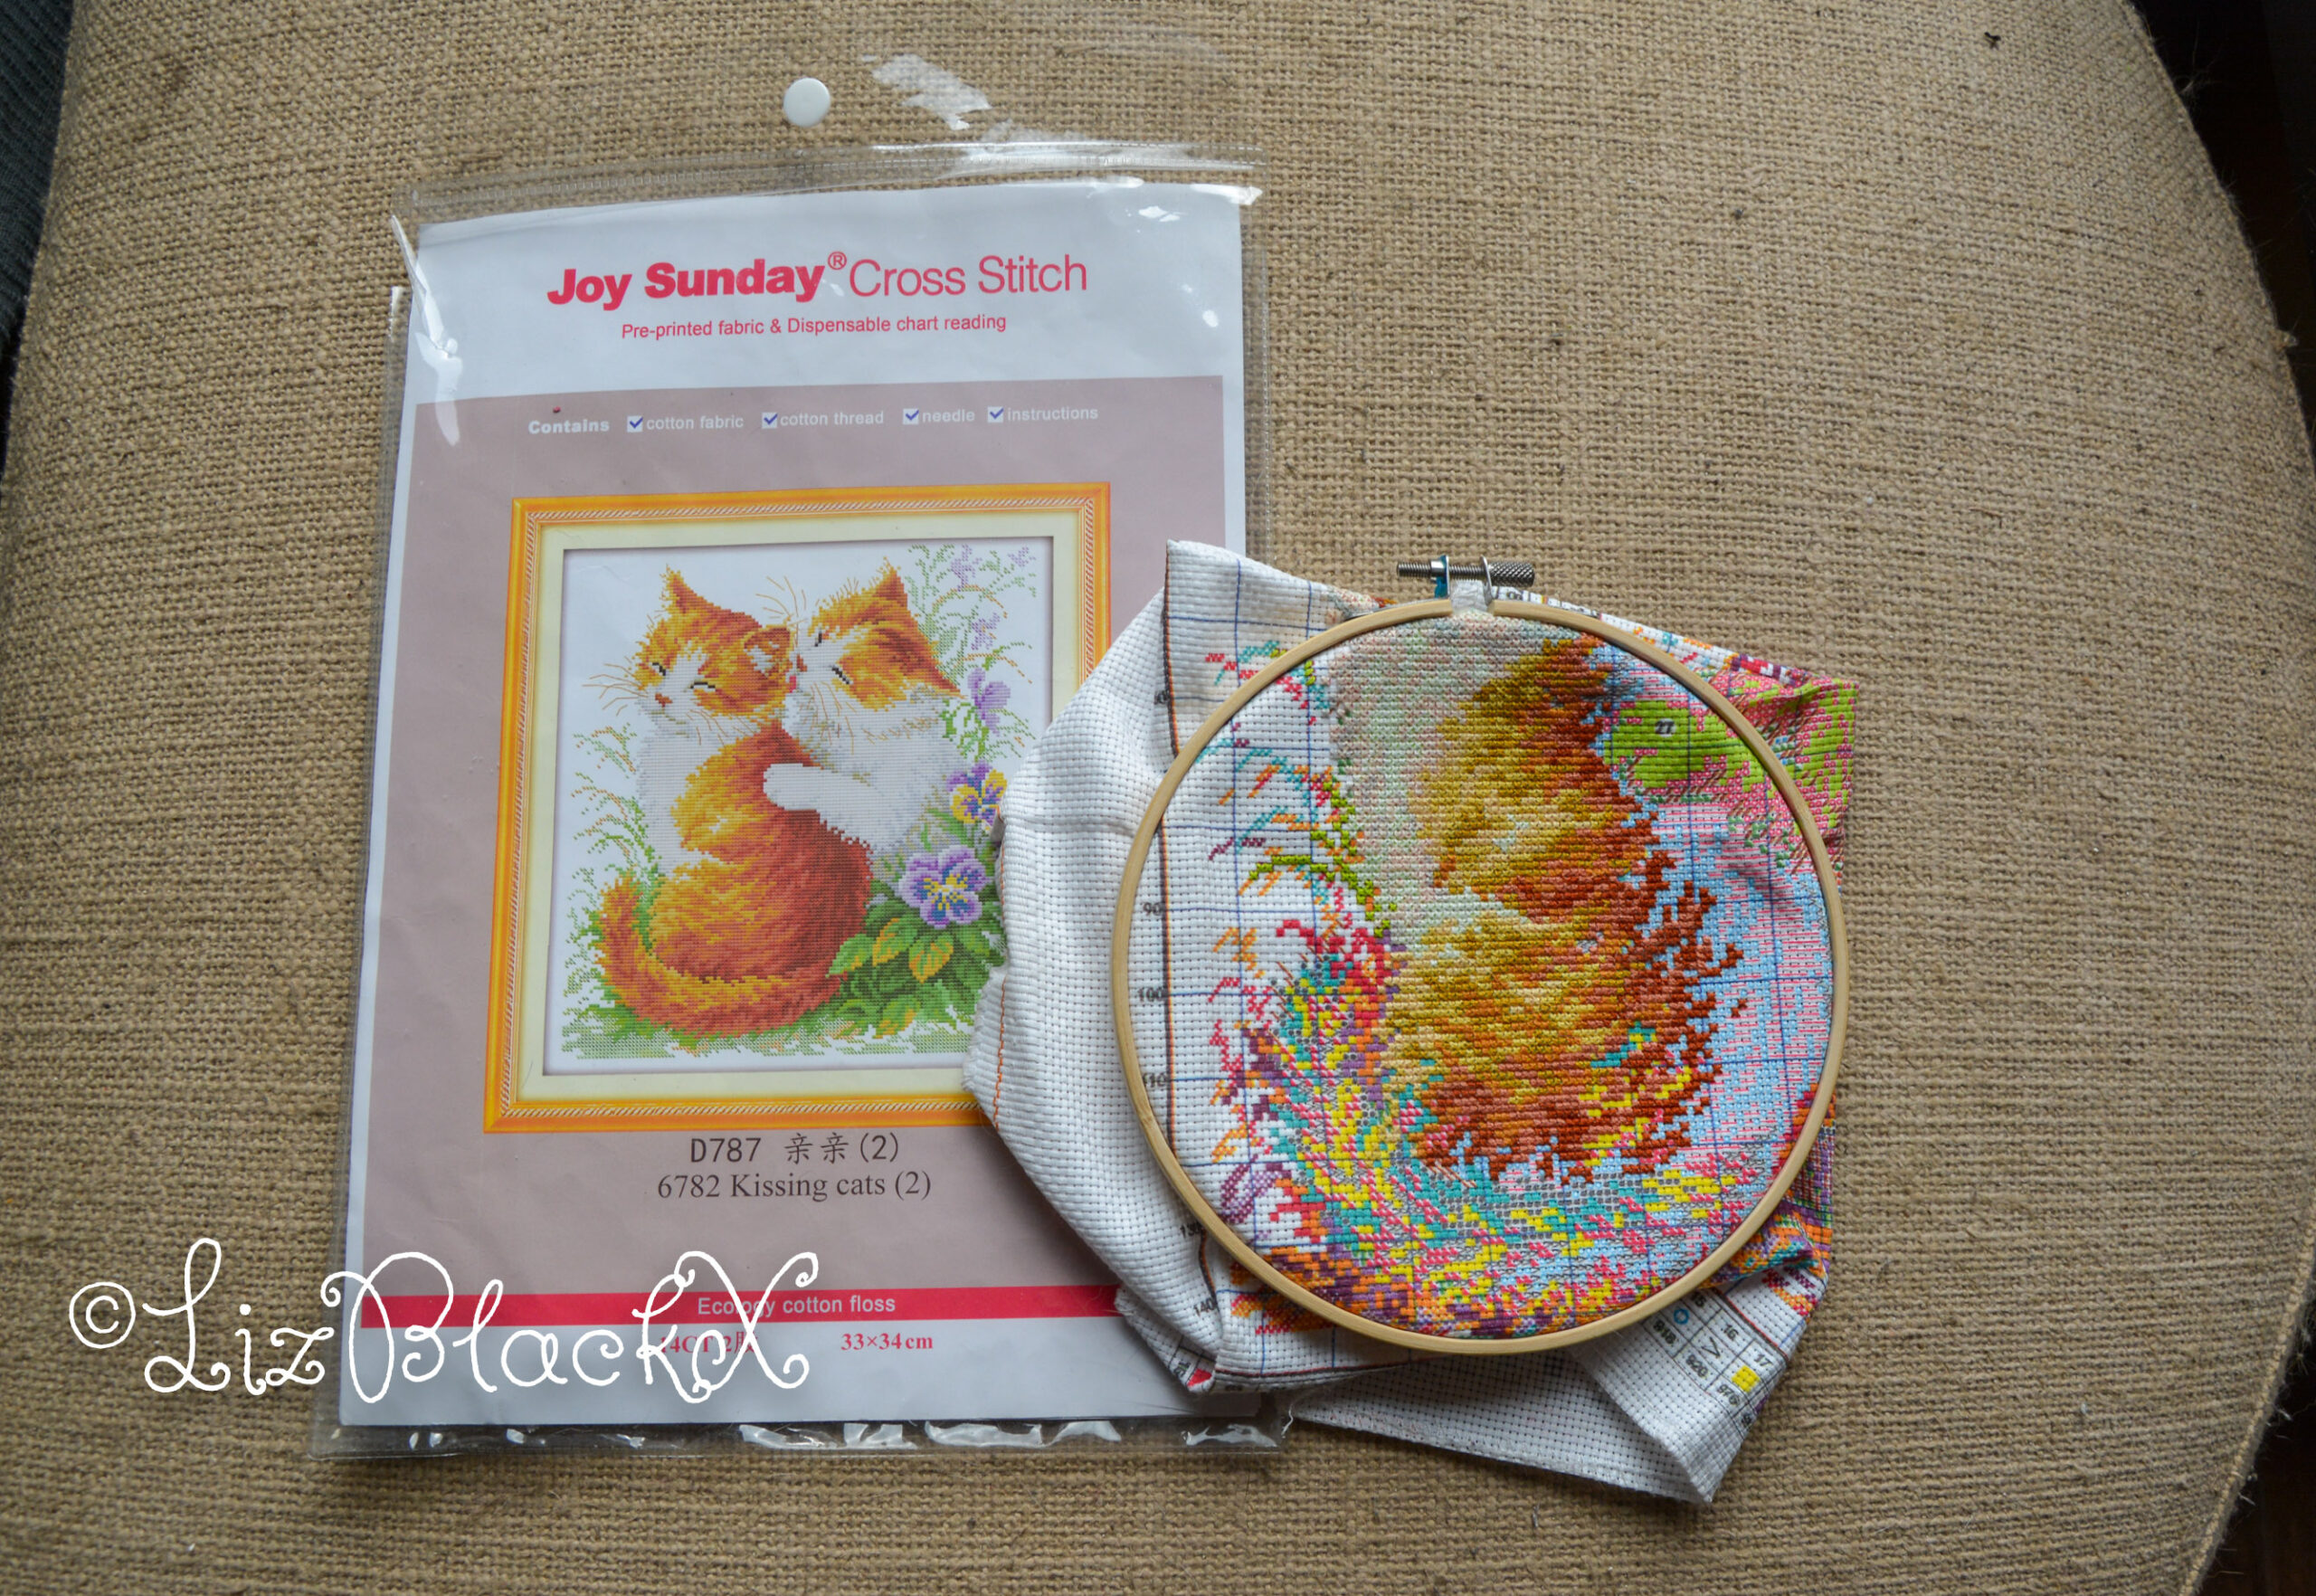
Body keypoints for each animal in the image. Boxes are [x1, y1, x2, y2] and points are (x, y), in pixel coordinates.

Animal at [594, 570, 871, 1038]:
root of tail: (822, 965)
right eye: (659, 666)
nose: (663, 698)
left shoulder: (673, 845)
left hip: (685, 887)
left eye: (703, 684)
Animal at [759, 563, 963, 856]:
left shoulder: (892, 809)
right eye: (819, 637)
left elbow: (843, 788)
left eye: (840, 674)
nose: (801, 662)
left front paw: (787, 781)